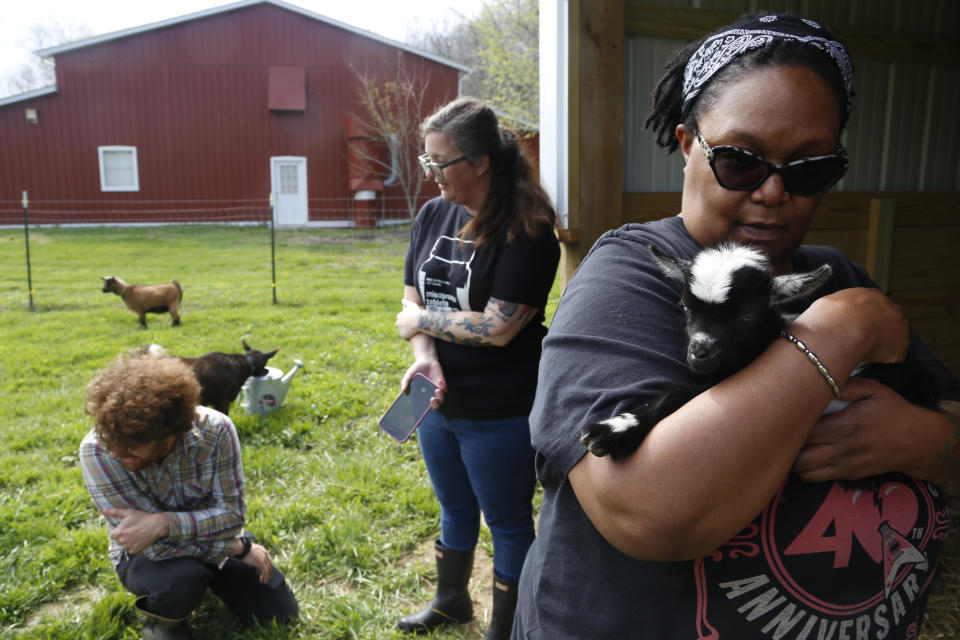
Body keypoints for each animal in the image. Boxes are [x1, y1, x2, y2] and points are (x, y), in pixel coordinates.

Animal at [576, 244, 936, 460]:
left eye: (747, 314)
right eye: (685, 305)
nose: (699, 352)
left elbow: (681, 394)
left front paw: (613, 431)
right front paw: (620, 425)